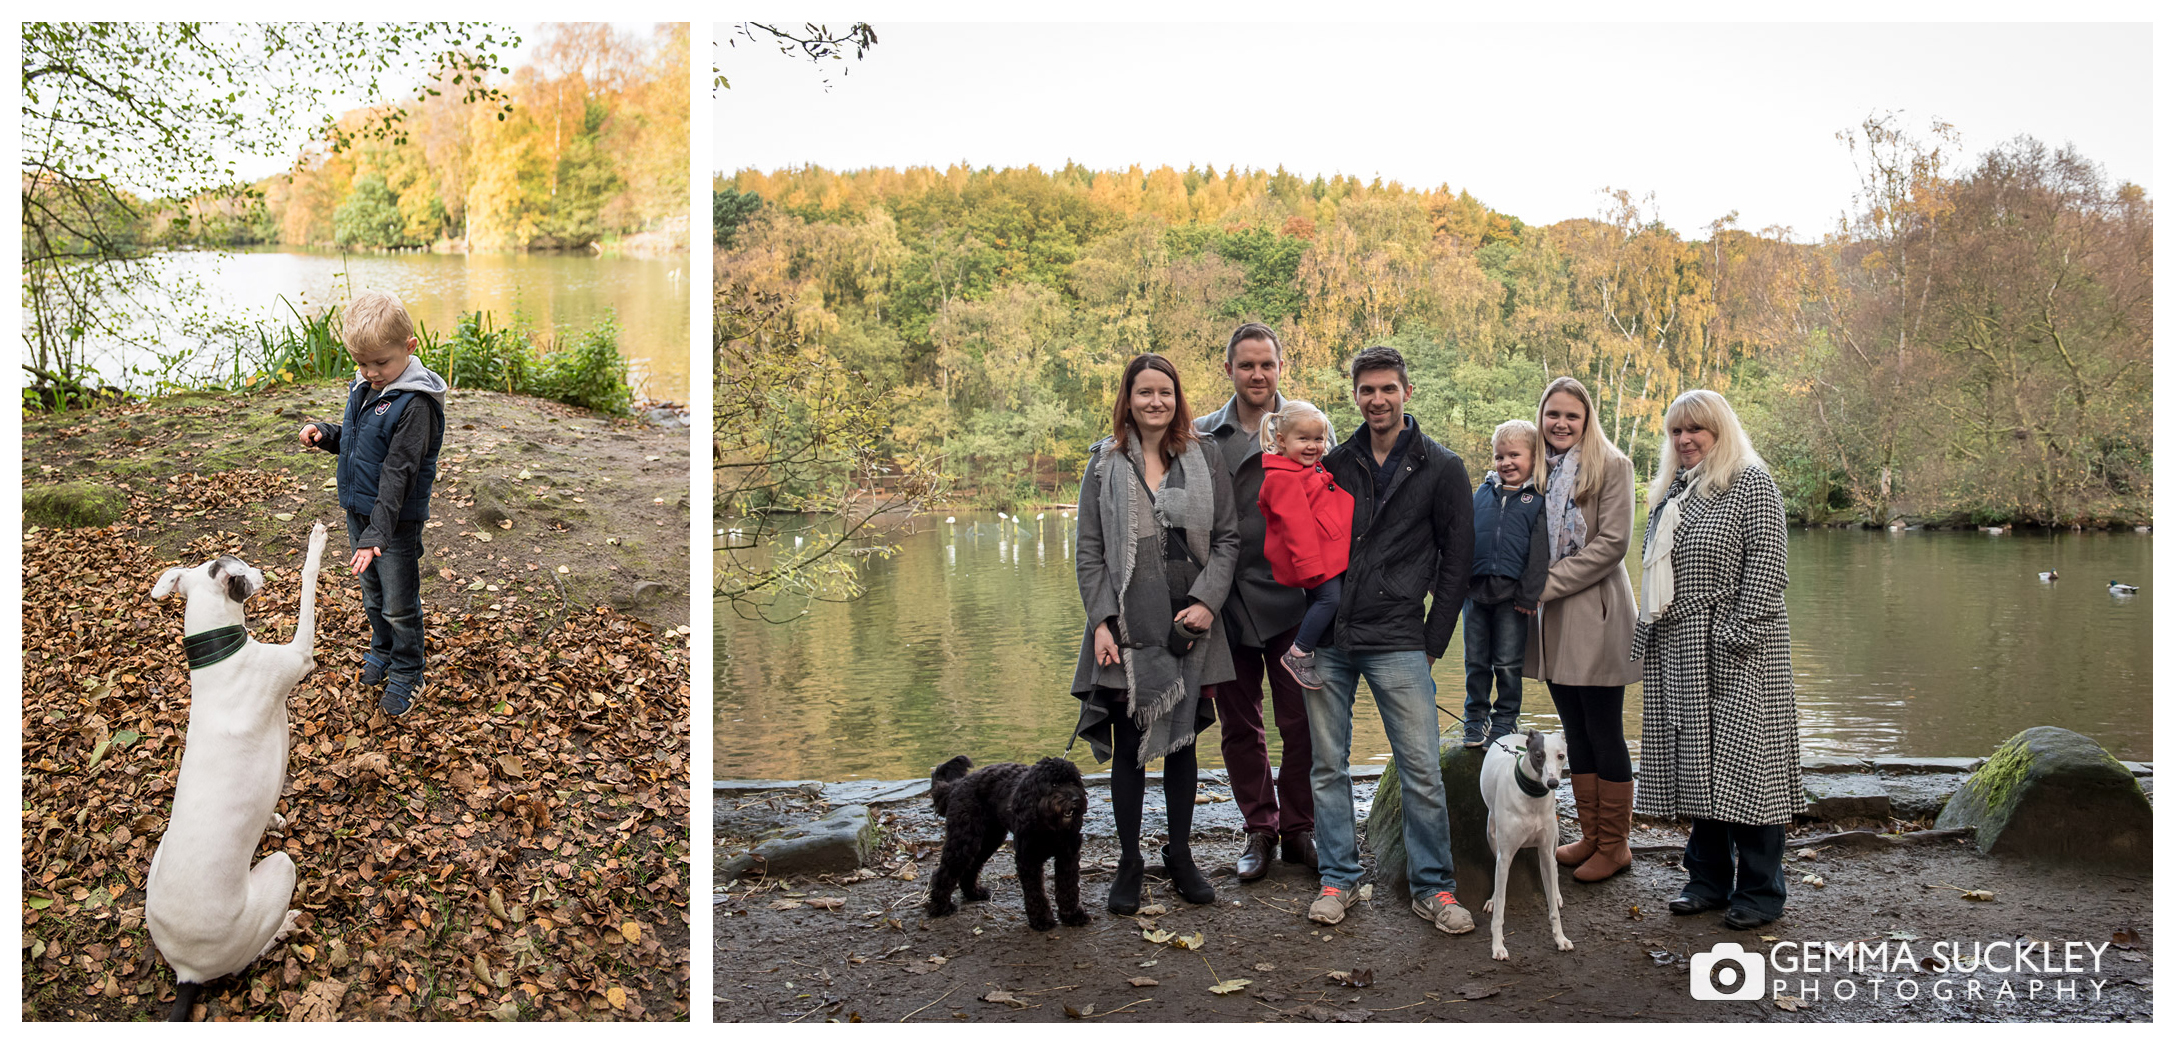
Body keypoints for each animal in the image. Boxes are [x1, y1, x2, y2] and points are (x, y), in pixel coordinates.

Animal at [144, 521, 326, 1017]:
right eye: (241, 568)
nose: (261, 570)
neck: (220, 658)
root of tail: (186, 971)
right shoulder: (300, 656)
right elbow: (308, 584)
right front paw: (317, 543)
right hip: (281, 871)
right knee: (254, 952)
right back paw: (286, 925)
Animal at [922, 748, 1088, 930]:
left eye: (1073, 782)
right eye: (1054, 785)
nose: (1075, 799)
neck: (1050, 826)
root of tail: (957, 785)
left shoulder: (1068, 856)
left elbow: (1068, 887)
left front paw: (1072, 915)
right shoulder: (1028, 859)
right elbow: (1035, 892)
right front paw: (1041, 919)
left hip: (988, 840)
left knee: (972, 866)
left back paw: (974, 893)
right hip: (963, 841)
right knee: (943, 872)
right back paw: (940, 907)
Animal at [1479, 730, 1566, 956]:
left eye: (1561, 755)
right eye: (1538, 755)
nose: (1552, 784)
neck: (1532, 797)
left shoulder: (1544, 852)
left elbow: (1552, 906)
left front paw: (1561, 939)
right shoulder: (1505, 856)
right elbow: (1500, 910)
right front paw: (1498, 946)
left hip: (1554, 837)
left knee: (1555, 864)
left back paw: (1558, 894)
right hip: (1492, 836)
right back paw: (1493, 899)